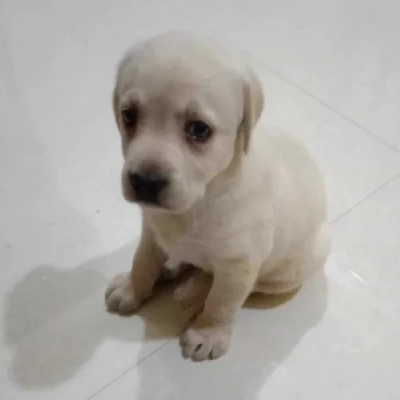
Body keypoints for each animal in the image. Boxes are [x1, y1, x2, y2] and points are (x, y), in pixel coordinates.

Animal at [104, 32, 330, 362]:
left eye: (199, 130)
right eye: (129, 116)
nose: (145, 182)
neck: (200, 200)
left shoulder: (240, 262)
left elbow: (223, 301)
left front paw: (208, 332)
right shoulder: (151, 229)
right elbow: (142, 260)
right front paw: (132, 288)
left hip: (290, 270)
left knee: (243, 286)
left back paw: (195, 292)